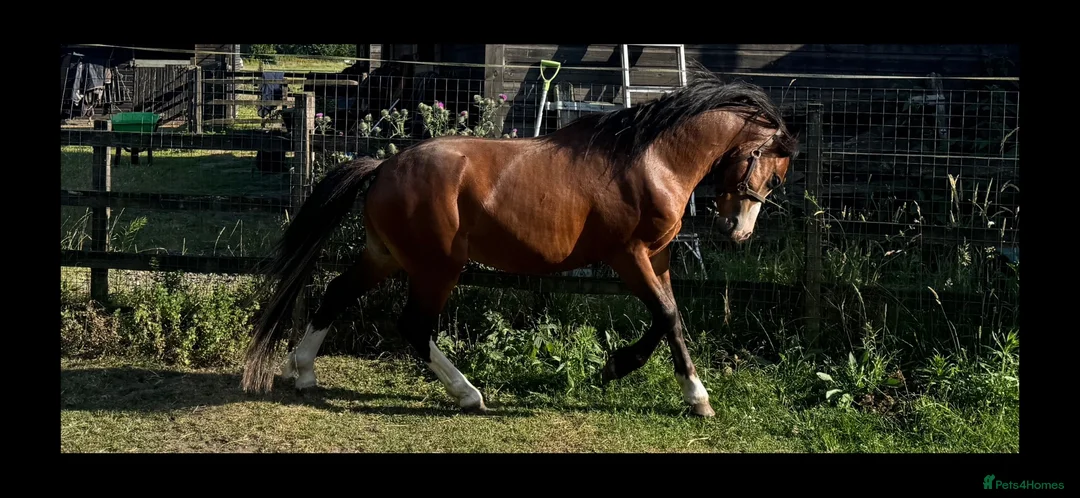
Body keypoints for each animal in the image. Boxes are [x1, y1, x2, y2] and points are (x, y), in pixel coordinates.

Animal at [240, 70, 800, 418]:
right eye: (773, 174)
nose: (738, 231)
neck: (649, 160)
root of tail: (384, 166)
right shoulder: (628, 255)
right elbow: (664, 317)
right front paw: (627, 371)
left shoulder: (658, 258)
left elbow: (674, 321)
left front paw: (687, 394)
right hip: (436, 267)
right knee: (414, 325)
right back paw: (468, 394)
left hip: (385, 256)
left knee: (337, 294)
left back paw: (303, 373)